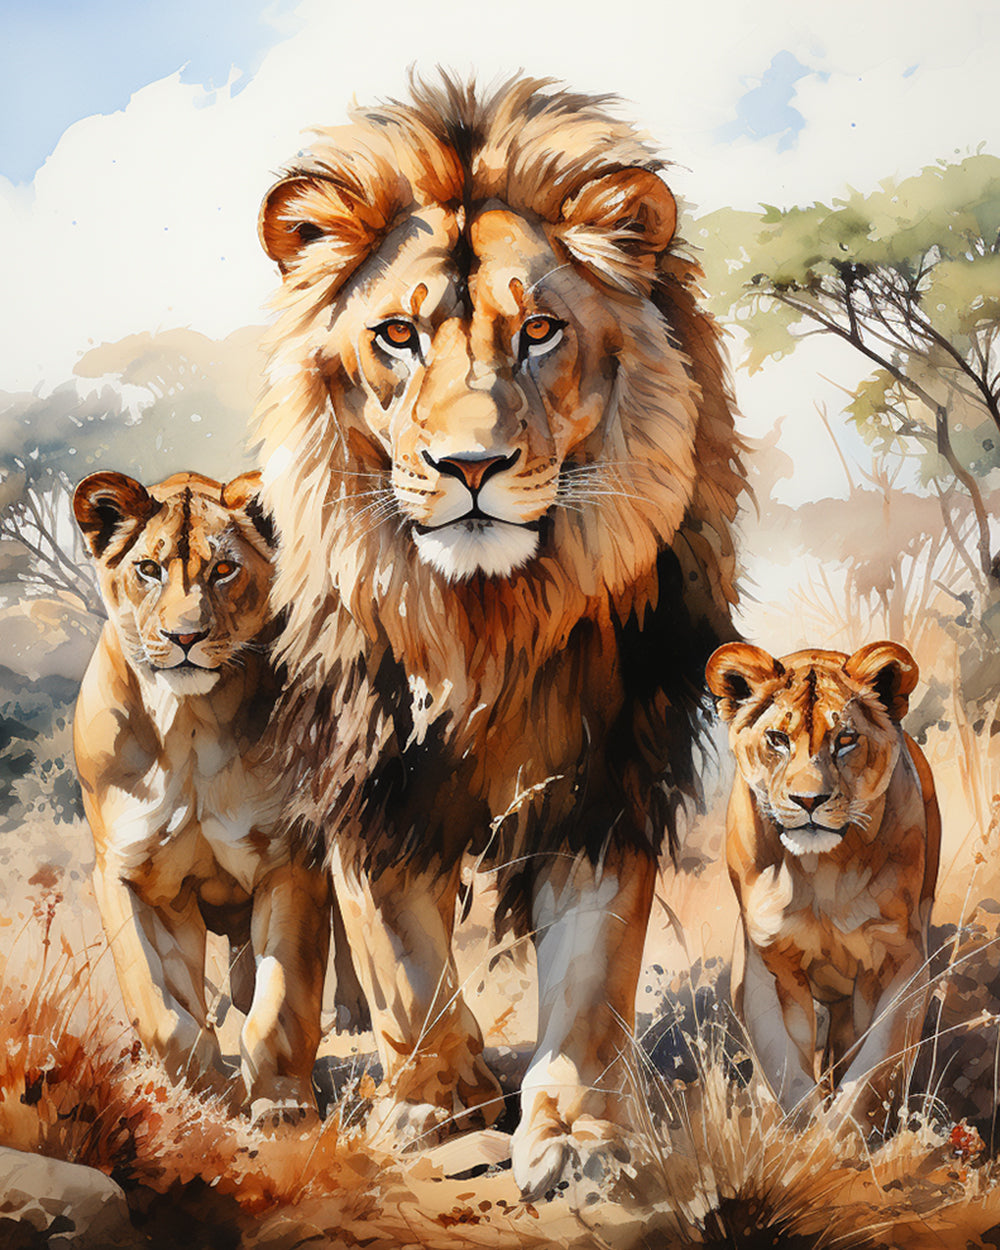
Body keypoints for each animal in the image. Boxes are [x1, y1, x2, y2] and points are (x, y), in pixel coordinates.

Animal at [72, 469, 337, 1125]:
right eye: (148, 569)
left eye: (223, 570)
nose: (185, 636)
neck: (190, 721)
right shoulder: (129, 873)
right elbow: (160, 1006)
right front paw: (204, 1092)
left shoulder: (291, 862)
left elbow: (281, 1003)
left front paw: (283, 1105)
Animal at [253, 75, 745, 1196]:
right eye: (397, 336)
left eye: (541, 332)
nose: (471, 465)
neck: (490, 623)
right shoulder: (372, 775)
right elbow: (403, 961)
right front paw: (439, 1111)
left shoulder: (605, 777)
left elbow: (593, 971)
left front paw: (575, 1135)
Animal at [706, 641, 941, 1133]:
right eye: (778, 738)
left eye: (846, 739)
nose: (809, 800)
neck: (821, 874)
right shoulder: (769, 962)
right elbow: (786, 1071)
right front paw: (800, 1138)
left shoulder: (899, 958)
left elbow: (872, 1069)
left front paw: (839, 1140)